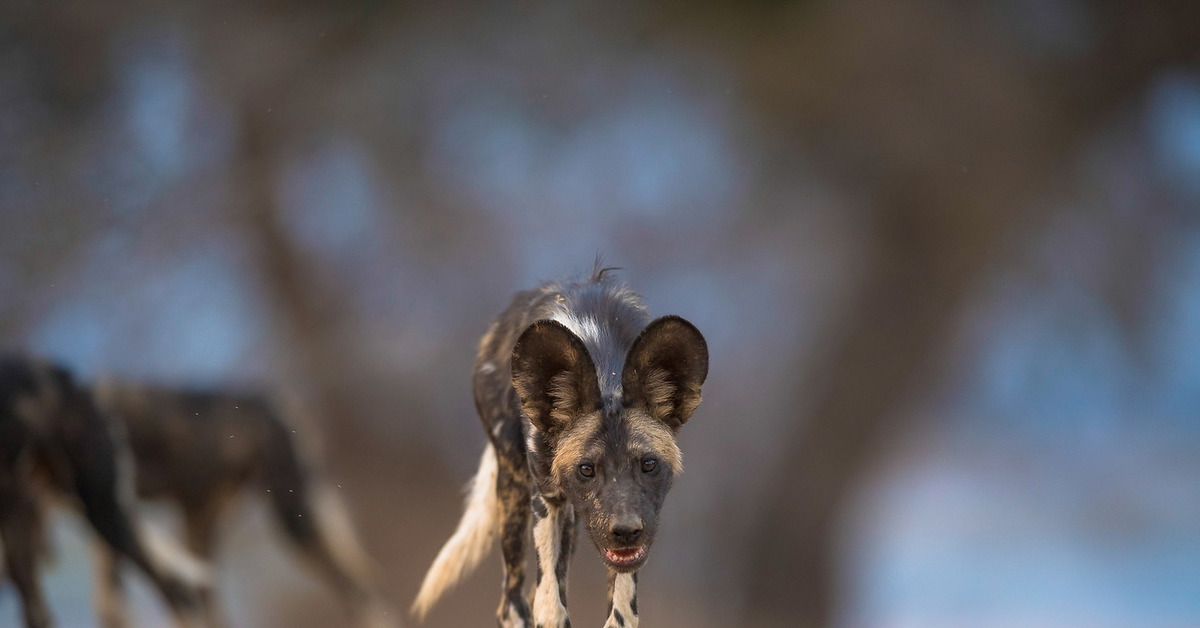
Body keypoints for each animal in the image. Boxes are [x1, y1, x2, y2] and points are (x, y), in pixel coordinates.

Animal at [417, 270, 705, 628]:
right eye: (586, 469)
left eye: (648, 464)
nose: (626, 531)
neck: (607, 373)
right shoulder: (547, 501)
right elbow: (550, 610)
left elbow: (622, 613)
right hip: (514, 490)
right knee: (514, 601)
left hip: (575, 523)